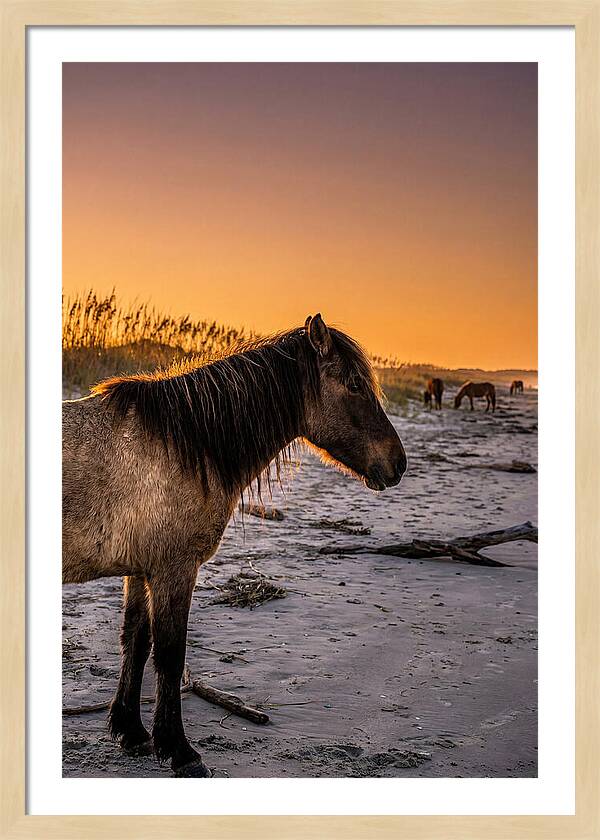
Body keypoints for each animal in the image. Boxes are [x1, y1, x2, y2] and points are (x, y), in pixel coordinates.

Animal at [62, 314, 407, 778]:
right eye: (354, 384)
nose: (398, 463)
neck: (185, 444)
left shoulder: (141, 570)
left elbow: (136, 640)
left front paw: (131, 732)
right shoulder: (174, 570)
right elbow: (170, 654)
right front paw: (179, 751)